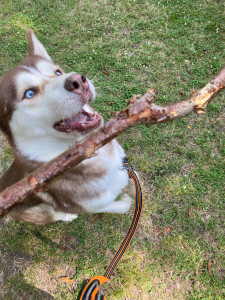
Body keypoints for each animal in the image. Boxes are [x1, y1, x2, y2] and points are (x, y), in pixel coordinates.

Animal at [0, 30, 134, 224]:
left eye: (57, 72)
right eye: (29, 93)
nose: (78, 80)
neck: (93, 152)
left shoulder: (124, 166)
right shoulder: (93, 206)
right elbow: (124, 206)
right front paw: (127, 199)